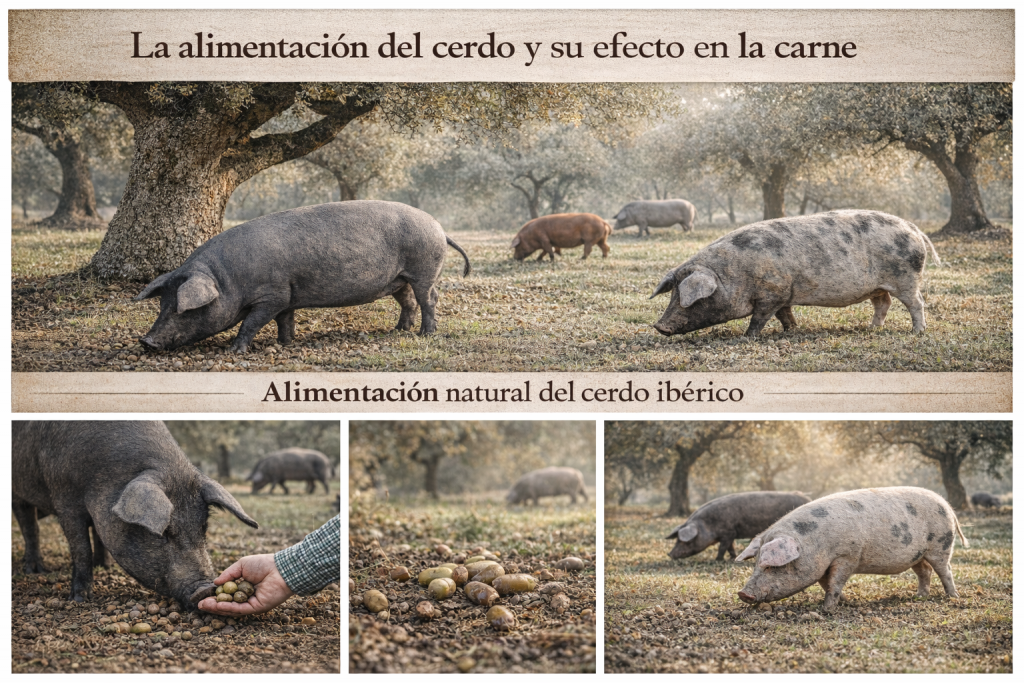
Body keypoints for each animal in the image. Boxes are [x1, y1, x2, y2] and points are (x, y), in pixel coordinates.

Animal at [12, 421, 258, 607]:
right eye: (164, 533)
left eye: (203, 527)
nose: (205, 589)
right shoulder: (64, 497)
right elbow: (81, 548)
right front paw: (80, 599)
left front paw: (104, 567)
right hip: (19, 491)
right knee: (30, 526)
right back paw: (35, 570)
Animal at [136, 200, 471, 353]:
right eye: (163, 304)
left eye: (184, 309)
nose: (146, 341)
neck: (228, 281)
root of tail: (439, 227)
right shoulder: (287, 295)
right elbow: (285, 320)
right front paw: (285, 343)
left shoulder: (272, 294)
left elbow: (251, 323)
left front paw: (234, 350)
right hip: (398, 278)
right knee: (408, 302)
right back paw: (398, 331)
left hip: (424, 268)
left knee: (429, 298)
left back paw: (425, 334)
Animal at [650, 210, 940, 337]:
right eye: (673, 293)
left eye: (692, 299)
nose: (659, 326)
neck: (733, 274)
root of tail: (912, 227)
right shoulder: (783, 294)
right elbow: (785, 315)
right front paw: (792, 330)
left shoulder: (771, 293)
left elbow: (759, 319)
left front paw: (747, 337)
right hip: (877, 286)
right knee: (884, 303)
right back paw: (871, 328)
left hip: (906, 277)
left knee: (917, 302)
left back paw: (917, 332)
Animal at [666, 491, 811, 561]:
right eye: (677, 539)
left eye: (684, 541)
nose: (669, 554)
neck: (708, 525)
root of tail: (807, 498)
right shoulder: (730, 534)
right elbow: (730, 547)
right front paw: (731, 558)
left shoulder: (728, 533)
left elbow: (722, 548)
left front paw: (717, 559)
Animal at [736, 486, 967, 612]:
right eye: (756, 563)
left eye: (770, 566)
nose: (743, 594)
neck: (815, 542)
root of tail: (947, 505)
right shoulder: (824, 565)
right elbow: (826, 583)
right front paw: (844, 601)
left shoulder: (847, 556)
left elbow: (835, 582)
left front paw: (826, 609)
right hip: (917, 555)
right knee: (925, 572)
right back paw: (920, 597)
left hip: (941, 545)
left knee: (945, 570)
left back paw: (953, 597)